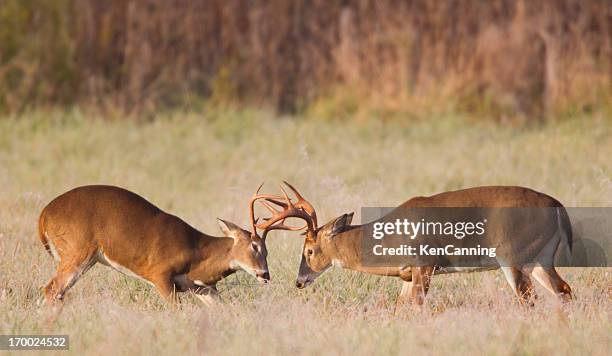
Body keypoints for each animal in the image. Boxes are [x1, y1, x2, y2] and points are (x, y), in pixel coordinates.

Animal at [37, 184, 290, 306]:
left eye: (267, 250)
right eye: (254, 246)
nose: (265, 274)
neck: (197, 252)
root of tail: (44, 215)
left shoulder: (201, 287)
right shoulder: (160, 274)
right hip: (77, 253)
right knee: (51, 289)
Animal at [258, 182, 572, 308]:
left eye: (309, 251)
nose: (299, 281)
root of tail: (557, 205)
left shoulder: (425, 264)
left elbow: (418, 307)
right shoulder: (406, 275)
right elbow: (401, 309)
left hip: (514, 256)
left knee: (529, 299)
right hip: (541, 257)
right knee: (564, 291)